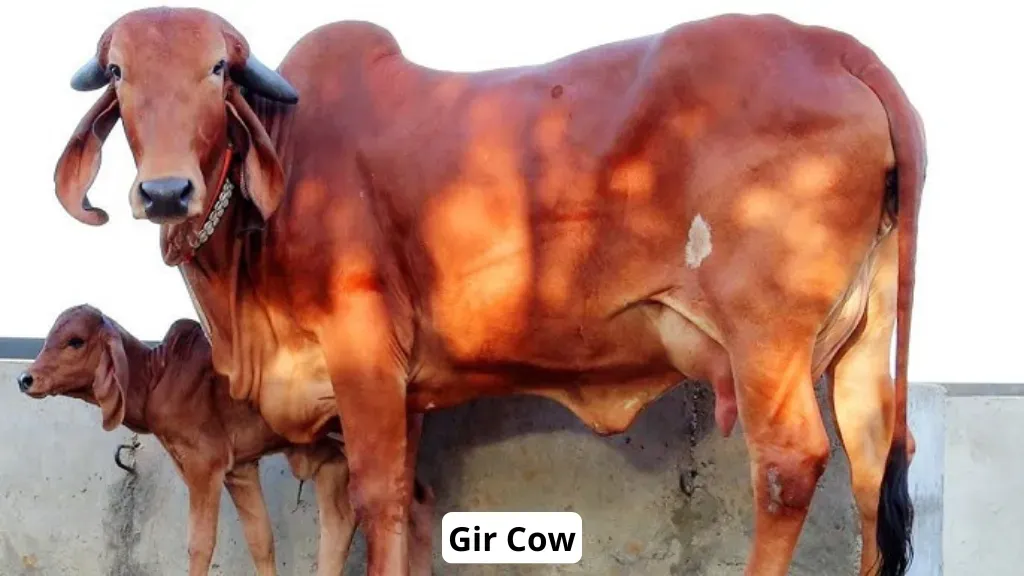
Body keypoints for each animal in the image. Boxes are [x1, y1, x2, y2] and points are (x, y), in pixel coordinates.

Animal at [16, 304, 436, 576]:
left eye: (75, 341)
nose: (25, 378)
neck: (157, 378)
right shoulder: (240, 470)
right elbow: (261, 541)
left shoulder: (205, 467)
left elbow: (200, 544)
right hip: (336, 456)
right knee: (354, 517)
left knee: (402, 509)